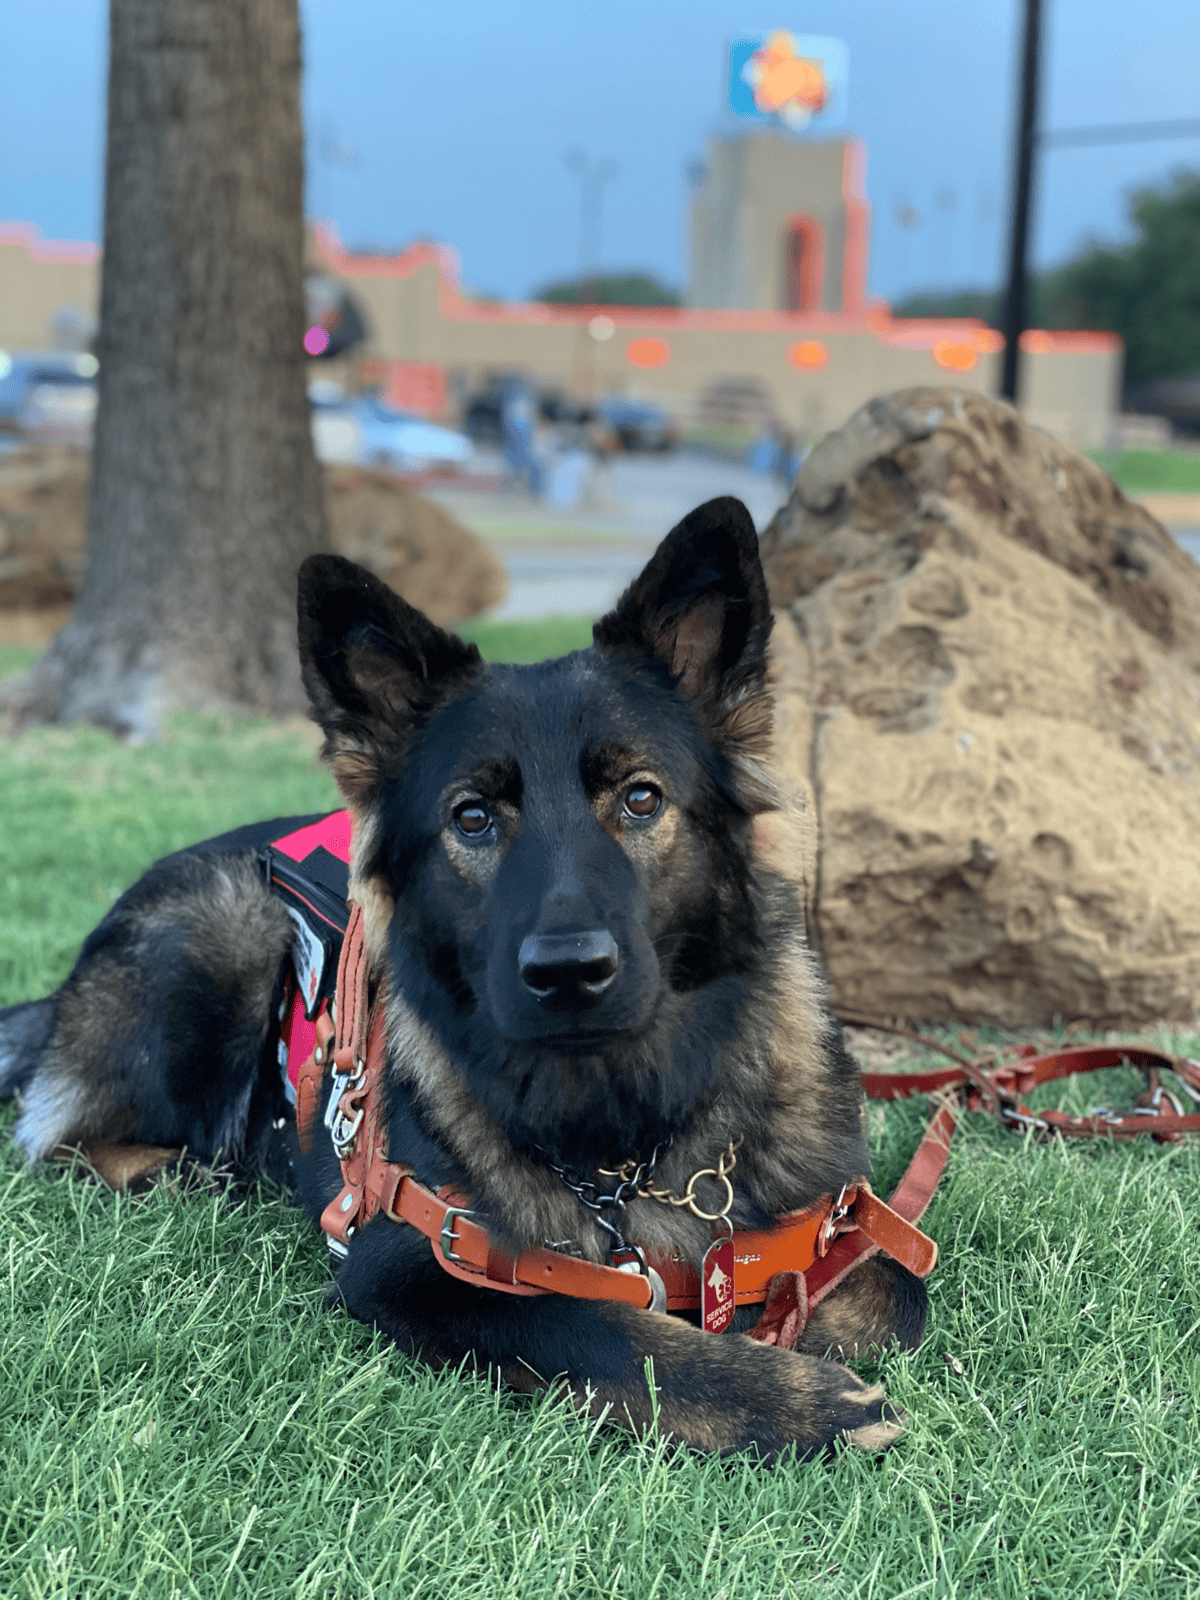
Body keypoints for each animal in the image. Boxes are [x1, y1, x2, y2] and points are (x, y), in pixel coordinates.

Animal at [0, 499, 928, 1465]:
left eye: (641, 798)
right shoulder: (412, 1263)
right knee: (58, 1134)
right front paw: (793, 1403)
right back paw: (175, 1173)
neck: (622, 1140)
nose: (568, 973)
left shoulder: (839, 1224)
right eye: (473, 818)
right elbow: (599, 1327)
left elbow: (888, 1298)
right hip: (226, 934)